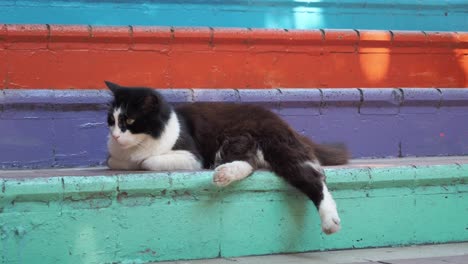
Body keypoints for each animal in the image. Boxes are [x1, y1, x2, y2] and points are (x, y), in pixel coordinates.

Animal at [106, 81, 348, 234]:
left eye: (129, 121)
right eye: (111, 120)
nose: (115, 135)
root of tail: (282, 121)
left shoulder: (192, 156)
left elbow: (146, 161)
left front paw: (140, 159)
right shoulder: (115, 158)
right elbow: (113, 161)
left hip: (265, 144)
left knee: (314, 178)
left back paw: (331, 222)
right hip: (239, 143)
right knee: (249, 164)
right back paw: (224, 174)